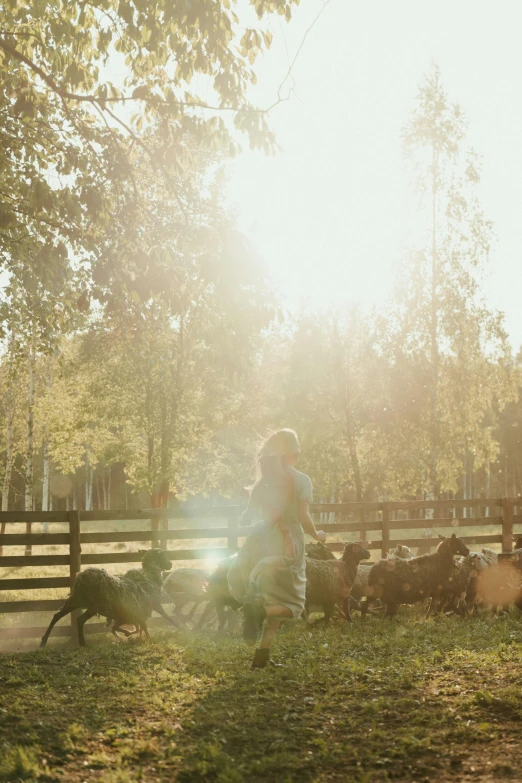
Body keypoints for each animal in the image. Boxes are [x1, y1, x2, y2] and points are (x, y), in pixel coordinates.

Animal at [39, 548, 180, 648]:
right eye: (163, 555)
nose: (171, 564)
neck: (149, 575)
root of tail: (81, 577)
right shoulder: (152, 605)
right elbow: (165, 617)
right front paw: (179, 628)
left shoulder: (139, 611)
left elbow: (141, 626)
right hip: (90, 604)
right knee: (73, 619)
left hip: (79, 601)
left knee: (62, 617)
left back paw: (48, 641)